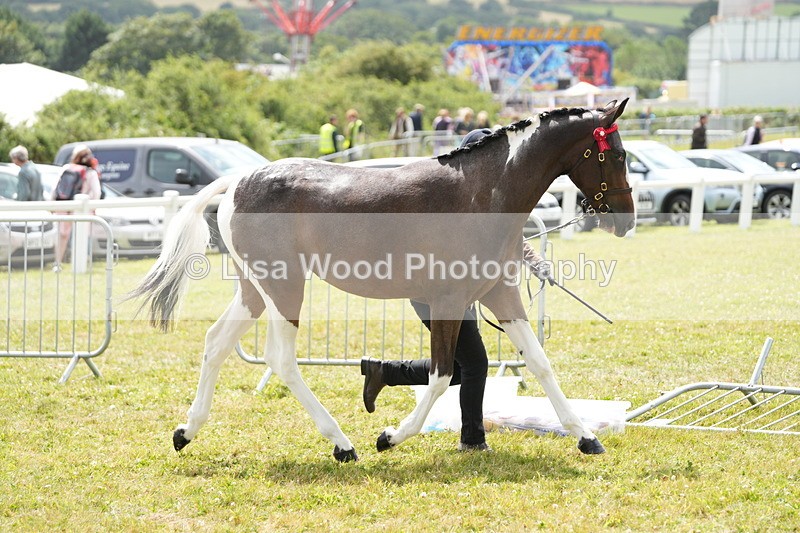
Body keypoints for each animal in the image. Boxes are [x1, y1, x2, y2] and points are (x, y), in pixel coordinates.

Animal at [128, 99, 634, 462]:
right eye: (617, 154)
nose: (626, 220)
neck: (482, 192)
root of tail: (234, 182)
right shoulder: (447, 300)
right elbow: (440, 375)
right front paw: (390, 436)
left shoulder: (499, 293)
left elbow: (540, 363)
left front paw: (586, 437)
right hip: (284, 287)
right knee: (281, 359)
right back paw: (343, 444)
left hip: (255, 290)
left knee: (216, 343)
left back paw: (185, 432)